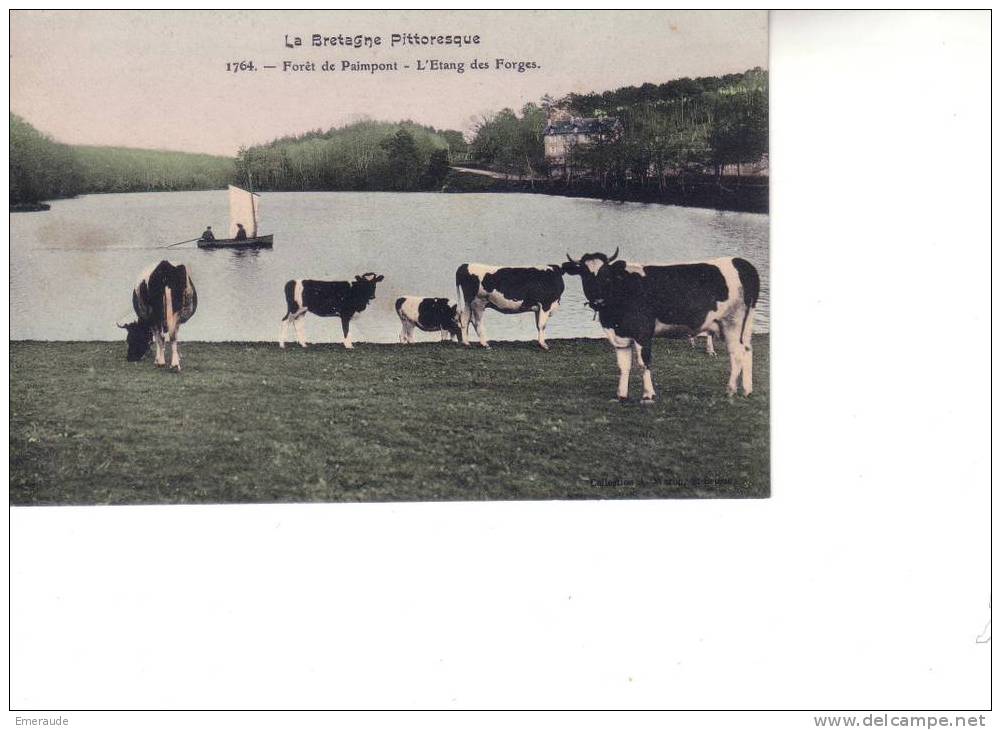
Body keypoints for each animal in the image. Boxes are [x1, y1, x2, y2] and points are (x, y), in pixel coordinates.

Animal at [564, 247, 756, 400]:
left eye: (606, 274)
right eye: (584, 274)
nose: (597, 298)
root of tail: (741, 263)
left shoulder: (643, 332)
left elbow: (644, 363)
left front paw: (648, 394)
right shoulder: (619, 336)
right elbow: (623, 366)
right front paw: (622, 394)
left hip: (732, 323)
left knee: (737, 354)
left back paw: (731, 390)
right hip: (745, 326)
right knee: (747, 351)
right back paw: (747, 390)